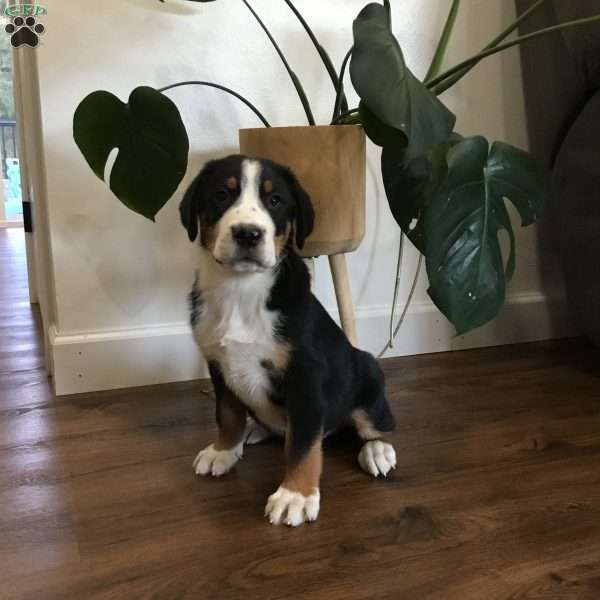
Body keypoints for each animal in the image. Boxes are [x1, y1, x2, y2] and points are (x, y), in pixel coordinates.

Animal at [180, 154, 396, 524]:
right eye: (222, 195)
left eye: (275, 200)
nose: (248, 233)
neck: (240, 291)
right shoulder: (218, 365)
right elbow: (228, 413)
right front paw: (224, 450)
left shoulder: (305, 377)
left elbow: (303, 445)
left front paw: (295, 495)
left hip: (367, 372)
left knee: (377, 423)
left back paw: (378, 450)